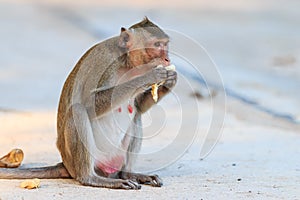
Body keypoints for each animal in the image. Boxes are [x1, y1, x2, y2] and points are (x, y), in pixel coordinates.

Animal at [0, 17, 177, 189]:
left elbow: (139, 106)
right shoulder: (104, 63)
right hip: (78, 160)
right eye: (157, 45)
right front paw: (149, 77)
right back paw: (91, 178)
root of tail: (66, 164)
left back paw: (128, 174)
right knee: (78, 110)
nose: (167, 59)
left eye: (165, 44)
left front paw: (170, 81)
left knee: (136, 115)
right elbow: (89, 103)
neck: (125, 62)